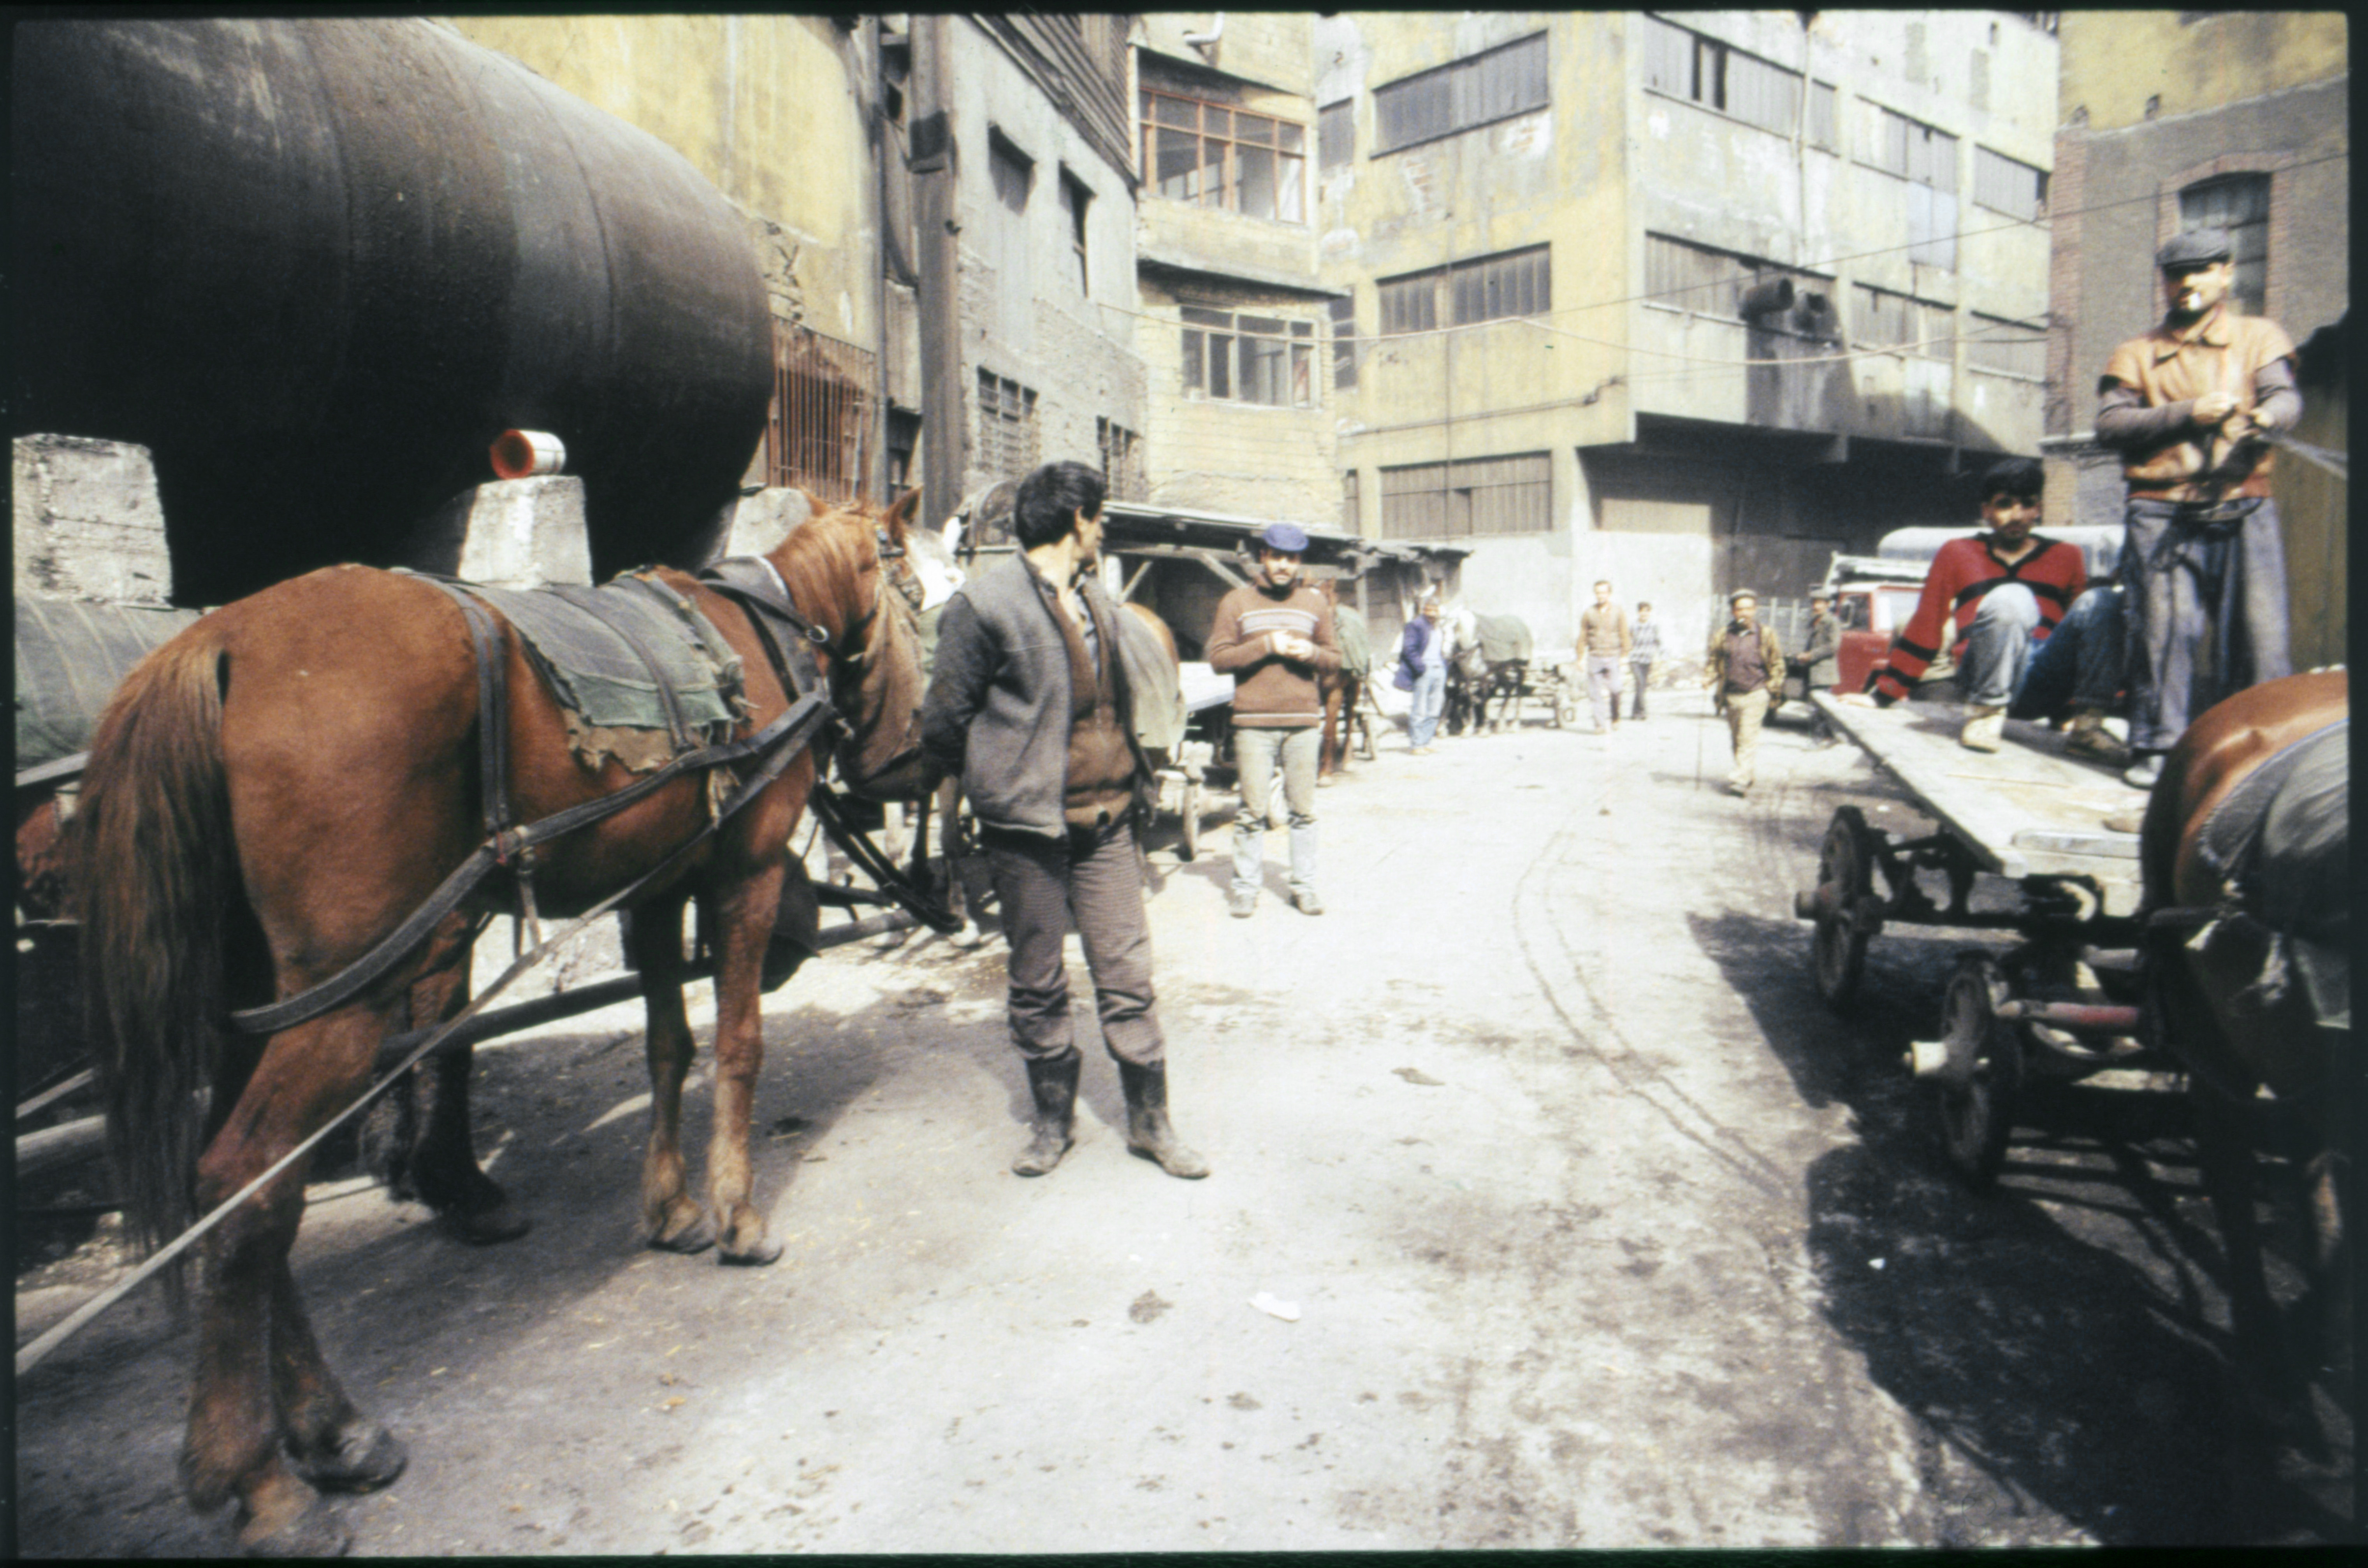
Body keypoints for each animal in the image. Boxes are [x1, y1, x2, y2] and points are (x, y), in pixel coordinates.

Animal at [73, 490, 929, 1556]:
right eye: (920, 590)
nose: (912, 762)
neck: (766, 629)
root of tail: (219, 638)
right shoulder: (744, 875)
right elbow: (737, 1046)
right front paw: (737, 1216)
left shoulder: (658, 886)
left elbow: (668, 1048)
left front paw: (672, 1208)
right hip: (343, 1001)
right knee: (249, 1187)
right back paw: (264, 1482)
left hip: (259, 1008)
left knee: (243, 1198)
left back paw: (332, 1429)